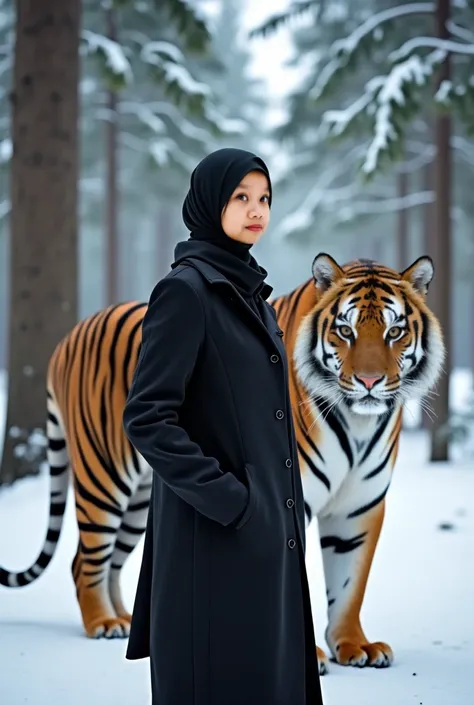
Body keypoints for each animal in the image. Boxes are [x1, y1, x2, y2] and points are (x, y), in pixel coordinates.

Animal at [0, 252, 444, 672]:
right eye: (345, 331)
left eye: (394, 331)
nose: (369, 382)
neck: (358, 423)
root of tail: (69, 335)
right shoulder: (292, 501)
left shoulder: (360, 505)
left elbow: (350, 583)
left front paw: (354, 646)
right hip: (104, 477)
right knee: (83, 560)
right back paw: (102, 623)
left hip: (141, 500)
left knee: (112, 561)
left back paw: (122, 620)